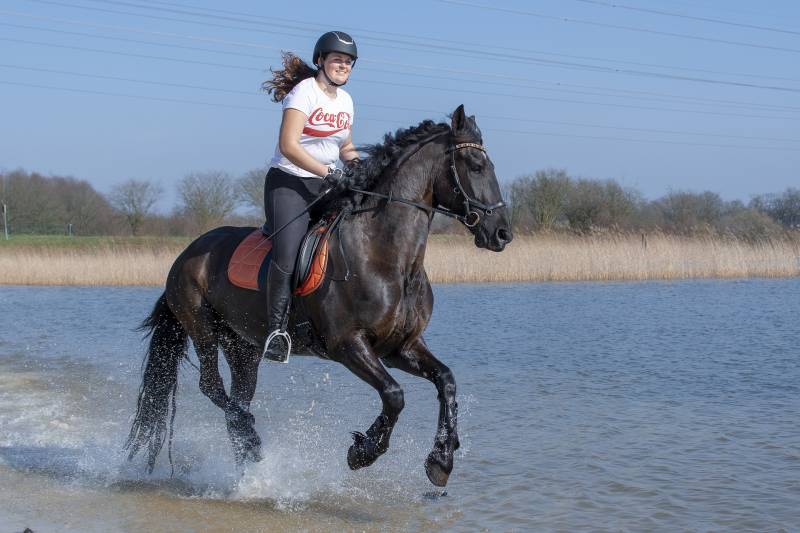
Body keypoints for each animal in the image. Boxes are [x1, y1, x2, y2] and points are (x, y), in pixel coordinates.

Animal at [126, 104, 513, 487]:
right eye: (476, 166)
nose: (502, 233)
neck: (387, 256)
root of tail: (185, 254)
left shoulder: (400, 347)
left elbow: (446, 380)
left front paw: (441, 460)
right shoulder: (347, 344)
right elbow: (394, 395)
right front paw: (363, 452)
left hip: (242, 346)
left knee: (238, 399)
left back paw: (250, 457)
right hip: (201, 326)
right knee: (213, 387)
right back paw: (252, 438)